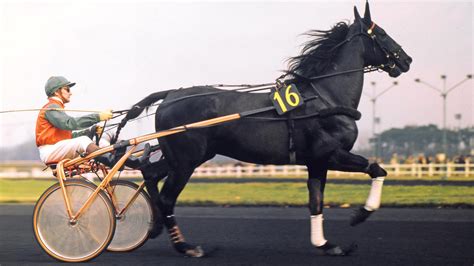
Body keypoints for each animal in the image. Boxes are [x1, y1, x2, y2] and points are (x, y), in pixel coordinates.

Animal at [115, 1, 412, 256]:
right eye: (382, 33)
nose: (407, 60)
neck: (325, 97)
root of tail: (170, 95)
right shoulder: (332, 154)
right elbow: (376, 168)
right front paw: (361, 213)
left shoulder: (317, 162)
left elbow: (316, 201)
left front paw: (326, 244)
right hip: (186, 161)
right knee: (167, 198)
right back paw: (185, 246)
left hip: (182, 157)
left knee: (151, 173)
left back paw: (155, 226)